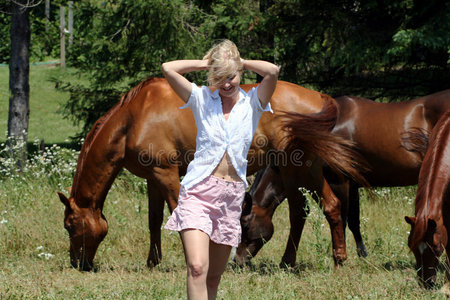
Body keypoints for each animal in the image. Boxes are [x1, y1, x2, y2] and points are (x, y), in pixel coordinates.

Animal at [57, 78, 366, 270]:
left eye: (70, 226)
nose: (78, 263)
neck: (133, 118)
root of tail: (321, 98)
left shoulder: (166, 174)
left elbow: (178, 212)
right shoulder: (153, 178)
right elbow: (154, 221)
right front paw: (152, 262)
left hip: (299, 169)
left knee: (314, 209)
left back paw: (324, 259)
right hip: (298, 170)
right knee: (313, 209)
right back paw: (309, 261)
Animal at [234, 90, 448, 266]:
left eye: (245, 224)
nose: (239, 261)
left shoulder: (338, 181)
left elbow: (341, 219)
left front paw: (341, 258)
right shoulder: (349, 185)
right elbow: (353, 221)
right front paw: (362, 256)